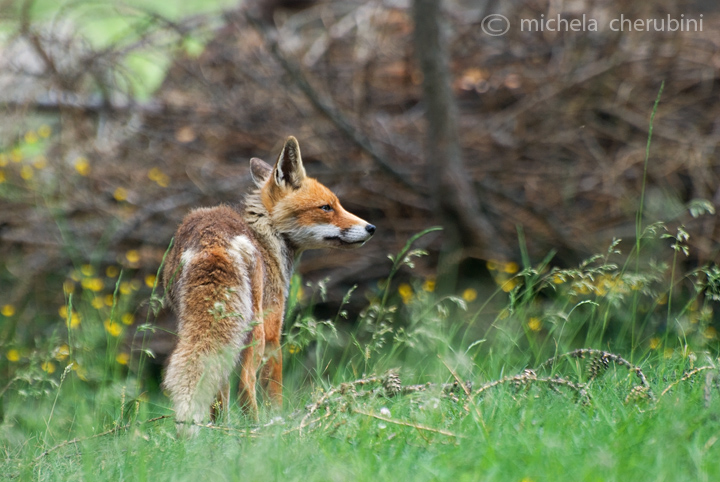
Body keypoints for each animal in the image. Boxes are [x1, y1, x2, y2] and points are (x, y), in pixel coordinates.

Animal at [162, 137, 376, 436]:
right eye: (326, 207)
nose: (371, 227)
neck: (266, 235)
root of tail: (211, 240)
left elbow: (220, 391)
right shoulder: (275, 331)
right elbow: (274, 391)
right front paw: (277, 420)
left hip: (194, 325)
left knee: (217, 381)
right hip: (257, 333)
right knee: (245, 384)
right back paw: (256, 431)